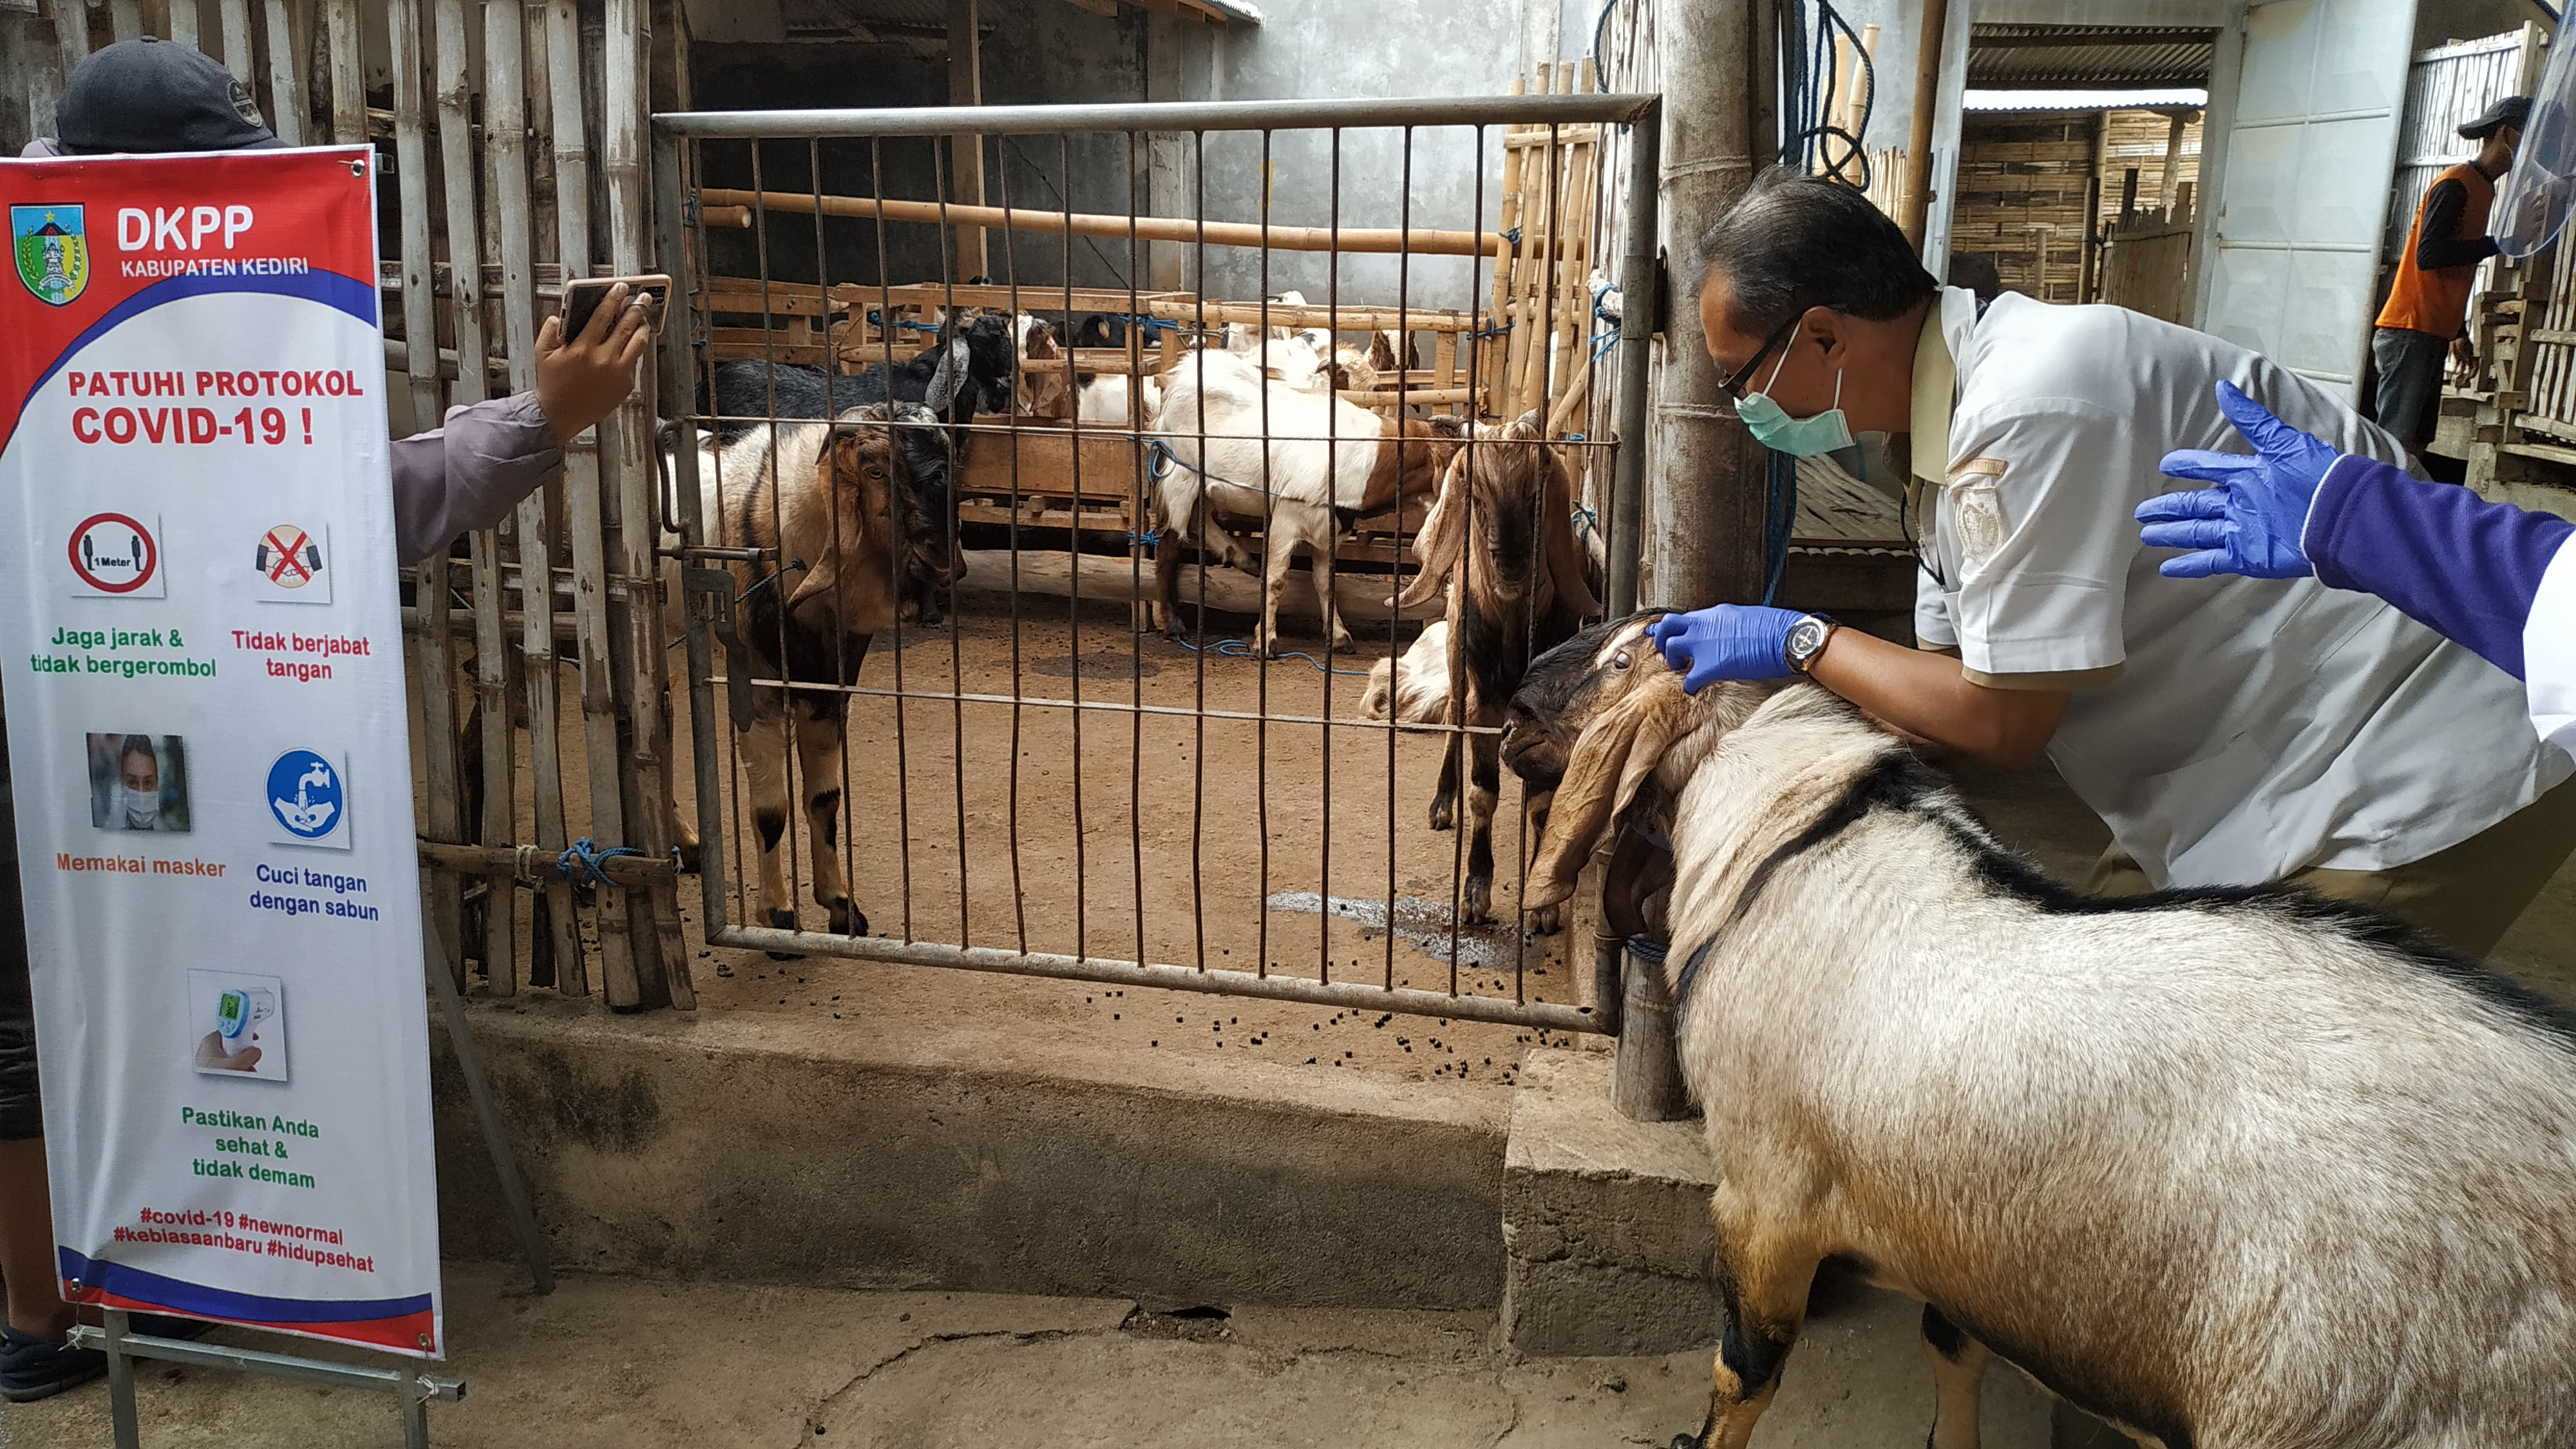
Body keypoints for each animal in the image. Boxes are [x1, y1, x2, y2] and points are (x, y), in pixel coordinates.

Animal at [659, 402, 963, 938]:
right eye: (874, 470)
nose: (942, 554)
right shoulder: (756, 691)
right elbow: (770, 810)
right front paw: (779, 916)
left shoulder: (829, 687)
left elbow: (825, 799)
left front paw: (842, 907)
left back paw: (691, 848)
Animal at [1154, 343, 1463, 649]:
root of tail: (1178, 378)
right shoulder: (1286, 518)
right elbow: (1276, 579)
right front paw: (1265, 641)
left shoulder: (1332, 529)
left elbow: (1326, 583)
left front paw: (1339, 636)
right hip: (1182, 475)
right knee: (1170, 542)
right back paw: (1172, 624)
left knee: (1200, 519)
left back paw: (1240, 557)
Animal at [1391, 412, 1587, 918]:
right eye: (1476, 497)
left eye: (1536, 495)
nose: (1511, 566)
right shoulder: (1484, 699)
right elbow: (1483, 792)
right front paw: (1475, 892)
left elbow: (1542, 801)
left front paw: (1541, 906)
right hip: (1455, 656)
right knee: (1452, 715)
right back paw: (1443, 804)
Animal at [1504, 608, 2576, 1443]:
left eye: (1625, 657)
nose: (1511, 702)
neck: (1790, 832)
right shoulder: (1963, 1236)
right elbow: (1950, 1341)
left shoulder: (1764, 1196)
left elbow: (1744, 1374)